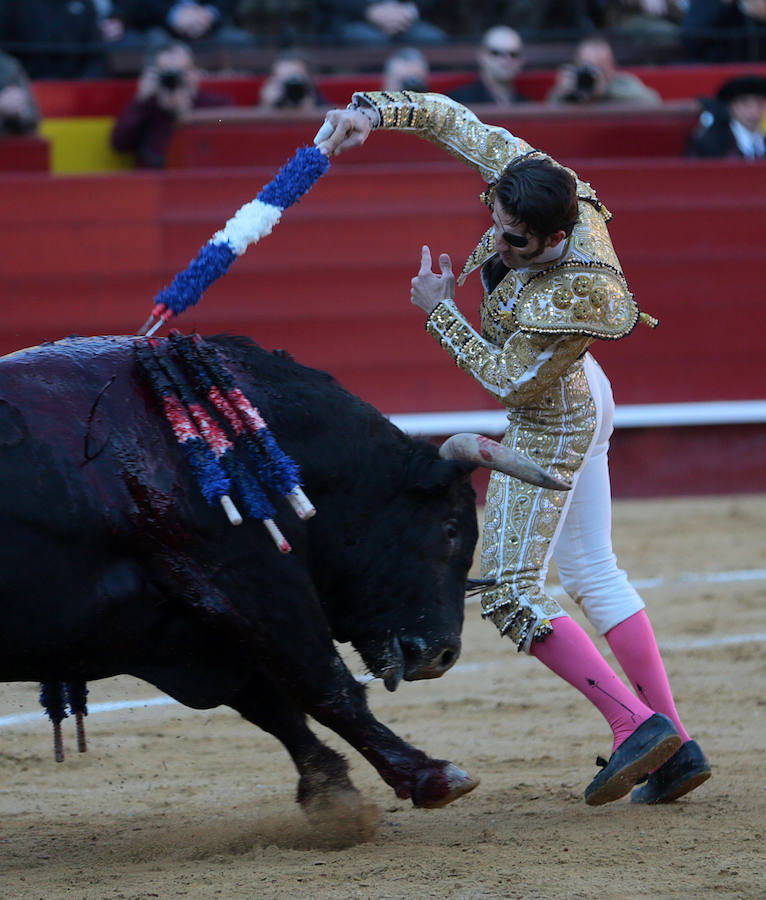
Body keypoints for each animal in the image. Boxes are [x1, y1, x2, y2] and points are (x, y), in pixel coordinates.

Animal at [1, 334, 564, 820]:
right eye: (450, 529)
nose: (444, 654)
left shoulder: (171, 630)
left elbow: (269, 700)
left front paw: (331, 792)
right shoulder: (251, 582)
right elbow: (325, 685)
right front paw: (434, 775)